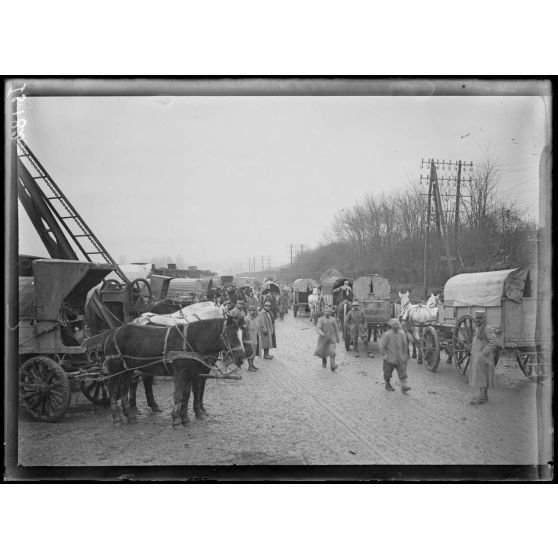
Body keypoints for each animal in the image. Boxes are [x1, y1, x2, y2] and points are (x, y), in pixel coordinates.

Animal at [103, 318, 247, 430]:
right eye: (230, 334)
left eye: (242, 333)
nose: (242, 357)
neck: (190, 341)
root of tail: (112, 332)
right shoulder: (180, 373)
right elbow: (178, 396)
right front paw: (176, 420)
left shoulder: (191, 374)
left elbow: (186, 396)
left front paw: (185, 418)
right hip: (115, 368)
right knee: (112, 390)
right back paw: (117, 418)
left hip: (127, 370)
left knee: (124, 390)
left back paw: (130, 415)